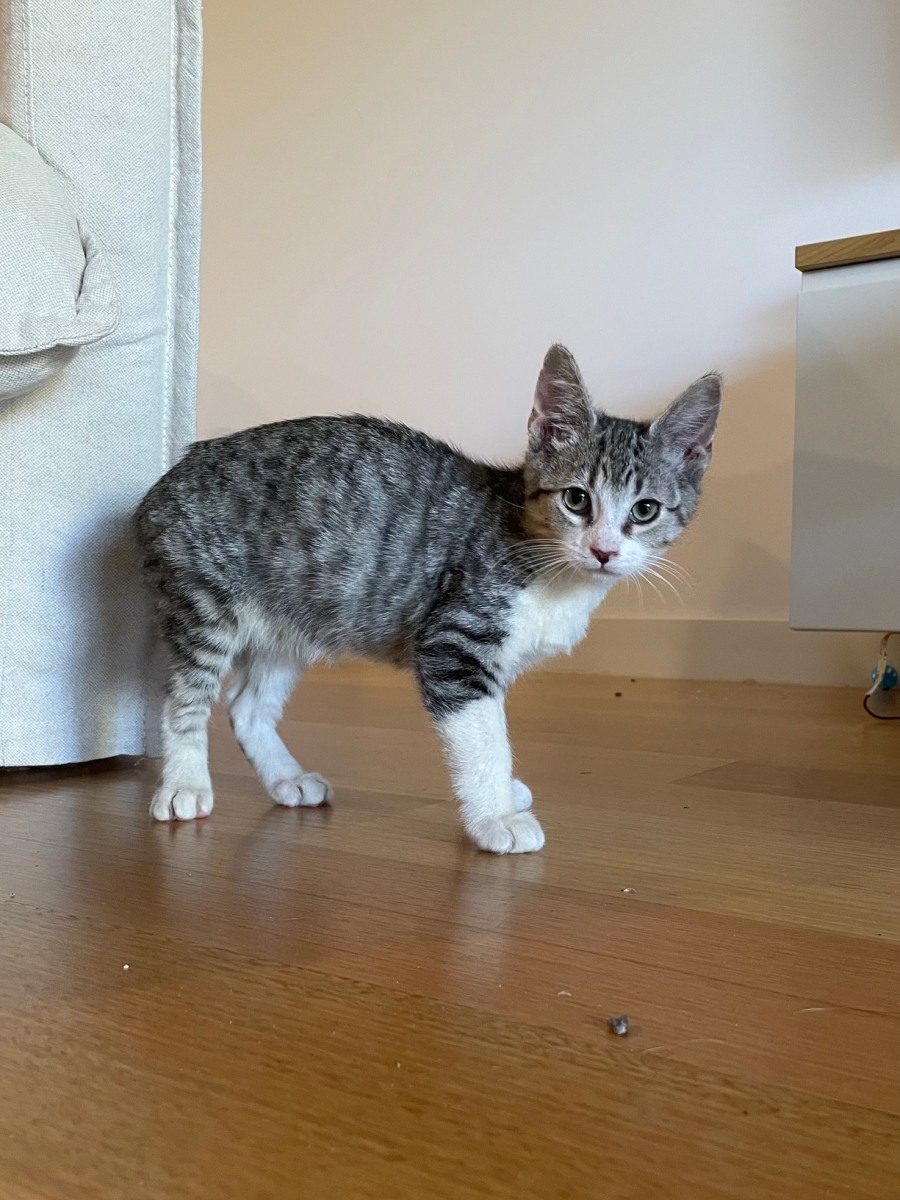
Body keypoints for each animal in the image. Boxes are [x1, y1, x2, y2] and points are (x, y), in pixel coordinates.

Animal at [134, 345, 721, 853]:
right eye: (577, 499)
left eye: (645, 510)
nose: (603, 550)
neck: (554, 572)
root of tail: (174, 472)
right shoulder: (454, 641)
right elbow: (482, 736)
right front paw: (496, 816)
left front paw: (505, 795)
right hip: (205, 600)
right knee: (186, 692)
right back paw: (185, 783)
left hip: (295, 617)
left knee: (248, 707)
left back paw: (287, 779)